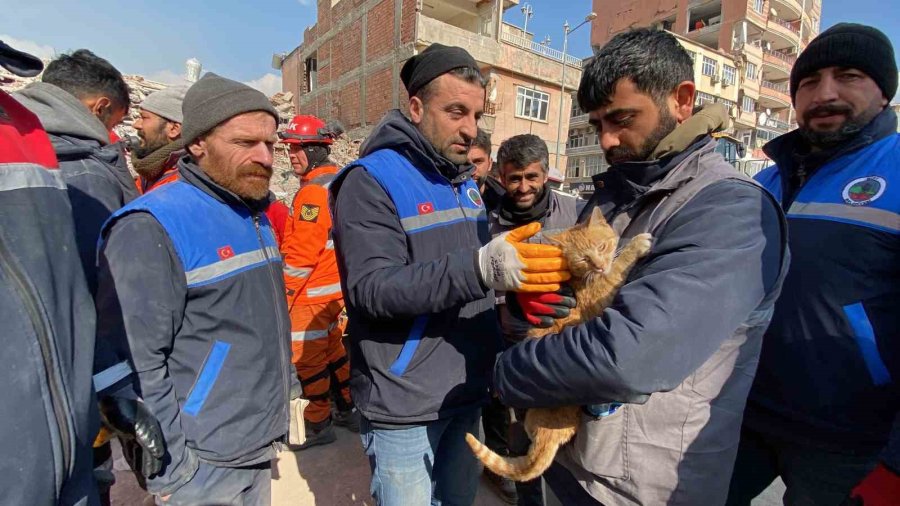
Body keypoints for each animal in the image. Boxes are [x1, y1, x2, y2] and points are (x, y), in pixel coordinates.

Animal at [468, 209, 652, 482]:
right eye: (584, 259)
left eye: (601, 246)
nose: (599, 265)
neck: (579, 277)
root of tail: (547, 435)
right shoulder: (602, 291)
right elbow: (619, 266)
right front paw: (637, 245)